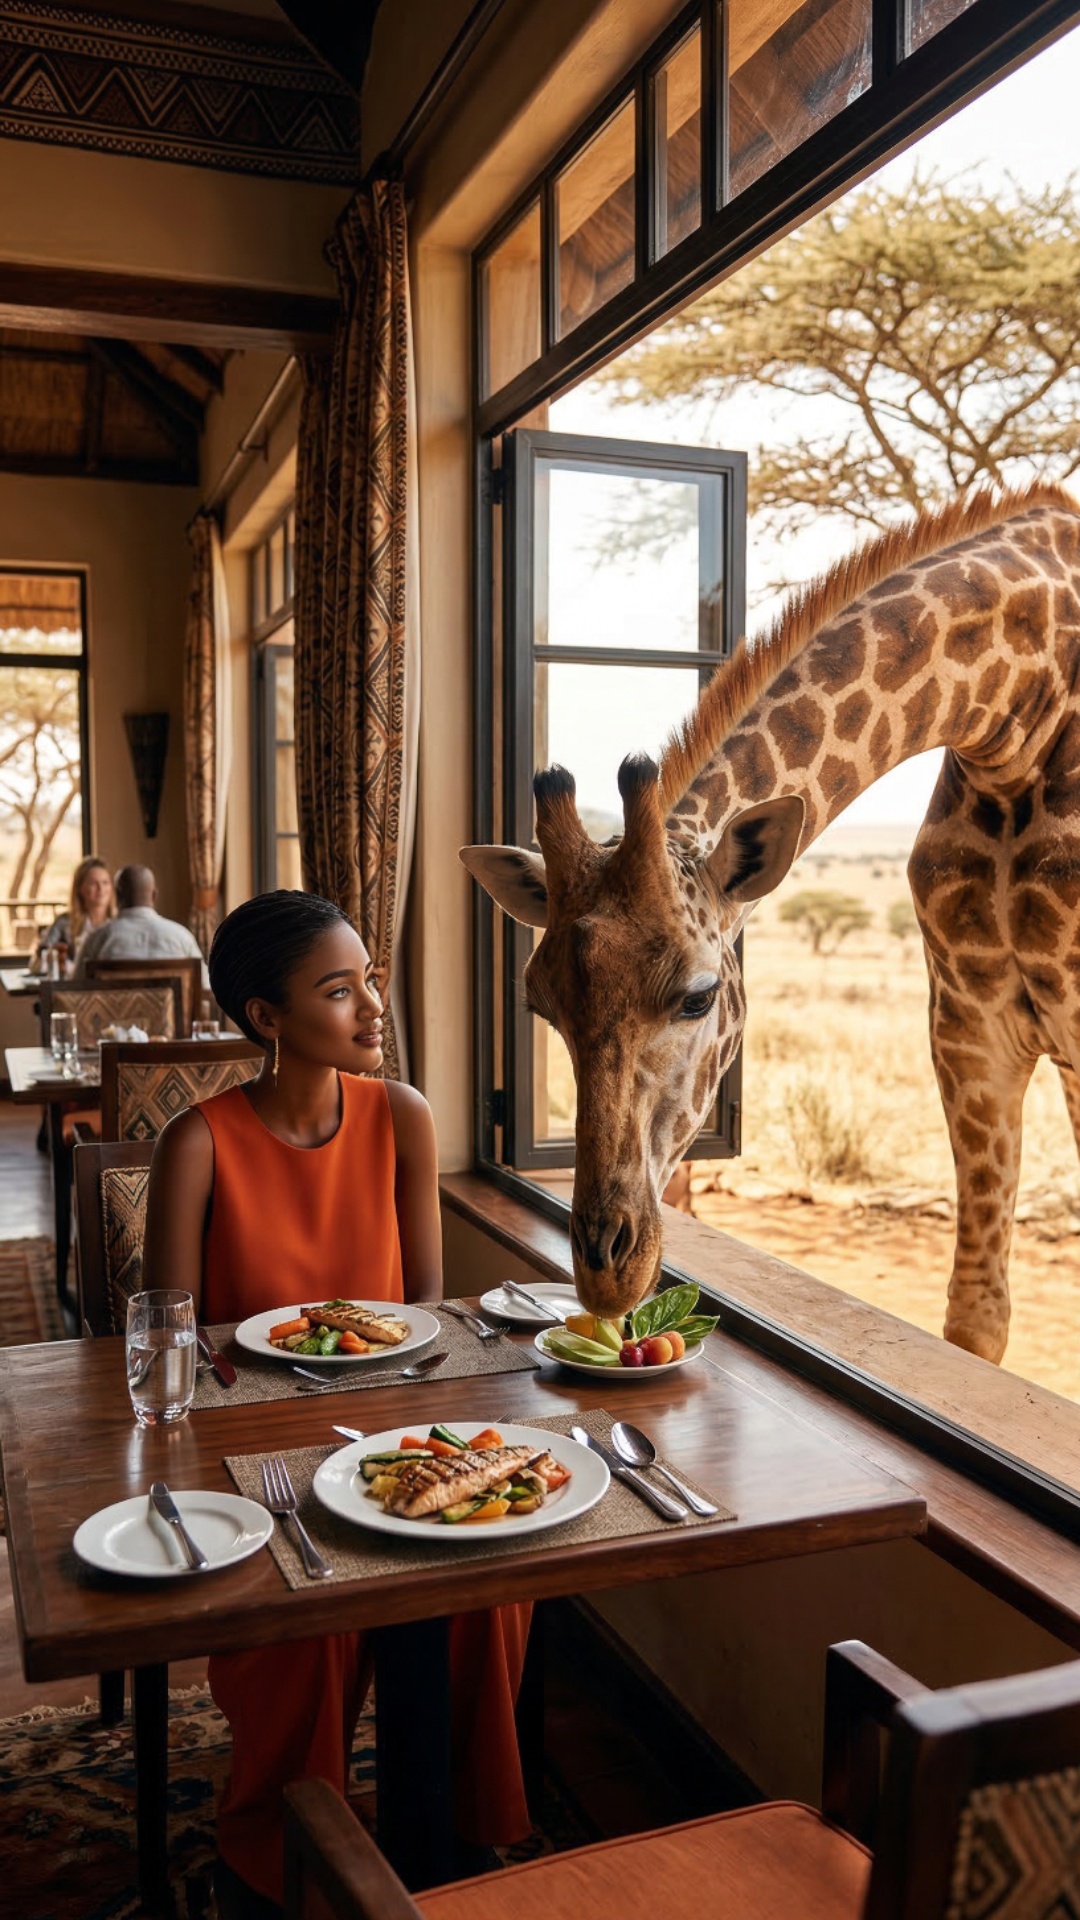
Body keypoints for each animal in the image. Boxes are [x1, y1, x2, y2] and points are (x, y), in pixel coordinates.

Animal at [462, 482, 1080, 1364]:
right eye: (541, 1008)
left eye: (698, 997)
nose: (606, 1271)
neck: (1017, 710)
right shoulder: (970, 1026)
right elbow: (976, 1315)